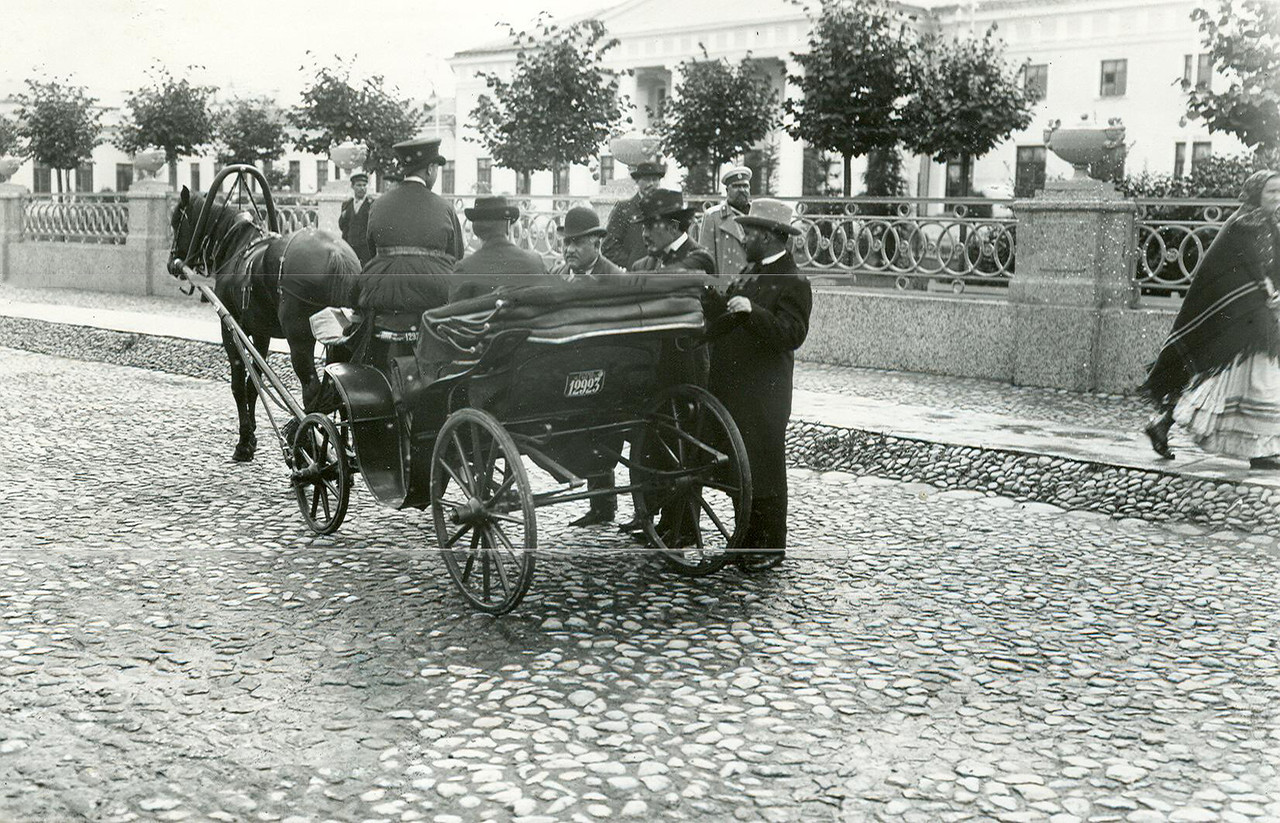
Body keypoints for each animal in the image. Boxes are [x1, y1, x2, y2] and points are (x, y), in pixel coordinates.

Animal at [168, 185, 360, 463]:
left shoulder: (230, 329)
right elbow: (253, 385)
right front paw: (252, 439)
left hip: (300, 340)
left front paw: (243, 443)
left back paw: (308, 443)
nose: (173, 262)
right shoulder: (260, 333)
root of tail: (336, 254)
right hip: (341, 340)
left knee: (312, 389)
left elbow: (239, 385)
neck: (238, 245)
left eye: (176, 221)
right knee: (339, 386)